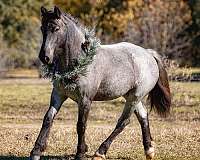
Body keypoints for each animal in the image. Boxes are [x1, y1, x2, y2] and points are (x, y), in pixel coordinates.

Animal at [29, 5, 170, 159]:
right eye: (42, 28)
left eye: (56, 28)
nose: (44, 57)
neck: (78, 62)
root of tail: (148, 54)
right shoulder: (58, 95)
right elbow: (48, 119)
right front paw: (36, 151)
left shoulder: (85, 100)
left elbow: (81, 125)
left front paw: (80, 153)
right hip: (131, 96)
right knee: (143, 117)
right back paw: (149, 150)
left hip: (135, 97)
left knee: (123, 122)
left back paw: (100, 152)